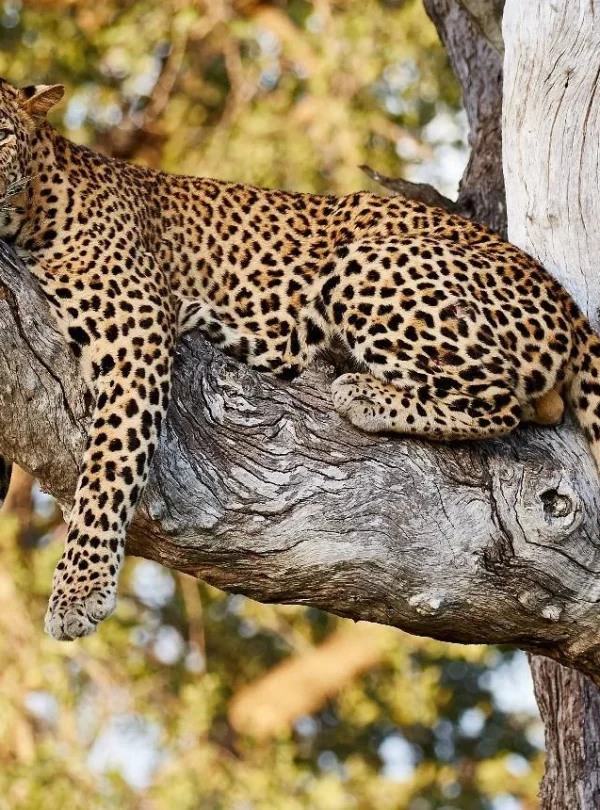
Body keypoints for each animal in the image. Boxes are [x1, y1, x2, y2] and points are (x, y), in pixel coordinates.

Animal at [0, 78, 598, 641]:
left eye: (1, 136)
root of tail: (562, 297)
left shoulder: (136, 332)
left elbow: (108, 465)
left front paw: (78, 593)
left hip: (368, 263)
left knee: (501, 402)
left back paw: (363, 394)